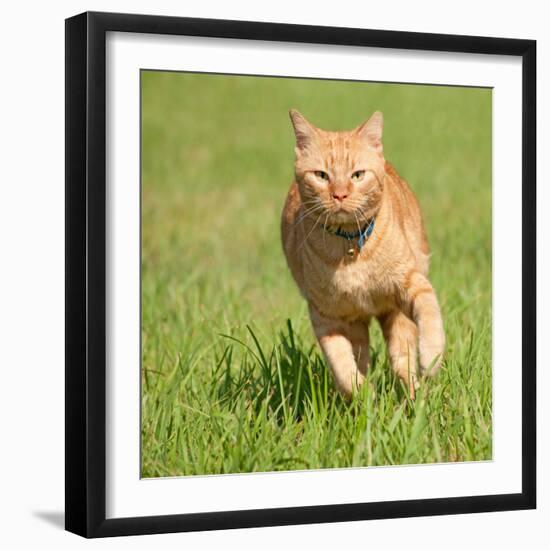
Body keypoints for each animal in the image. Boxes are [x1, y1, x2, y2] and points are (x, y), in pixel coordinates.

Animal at [282, 110, 446, 398]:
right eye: (321, 175)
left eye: (357, 175)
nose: (339, 194)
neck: (350, 248)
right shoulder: (325, 316)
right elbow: (342, 365)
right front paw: (364, 394)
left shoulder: (412, 283)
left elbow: (430, 314)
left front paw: (431, 359)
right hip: (357, 322)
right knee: (363, 356)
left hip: (396, 314)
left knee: (401, 359)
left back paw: (415, 395)